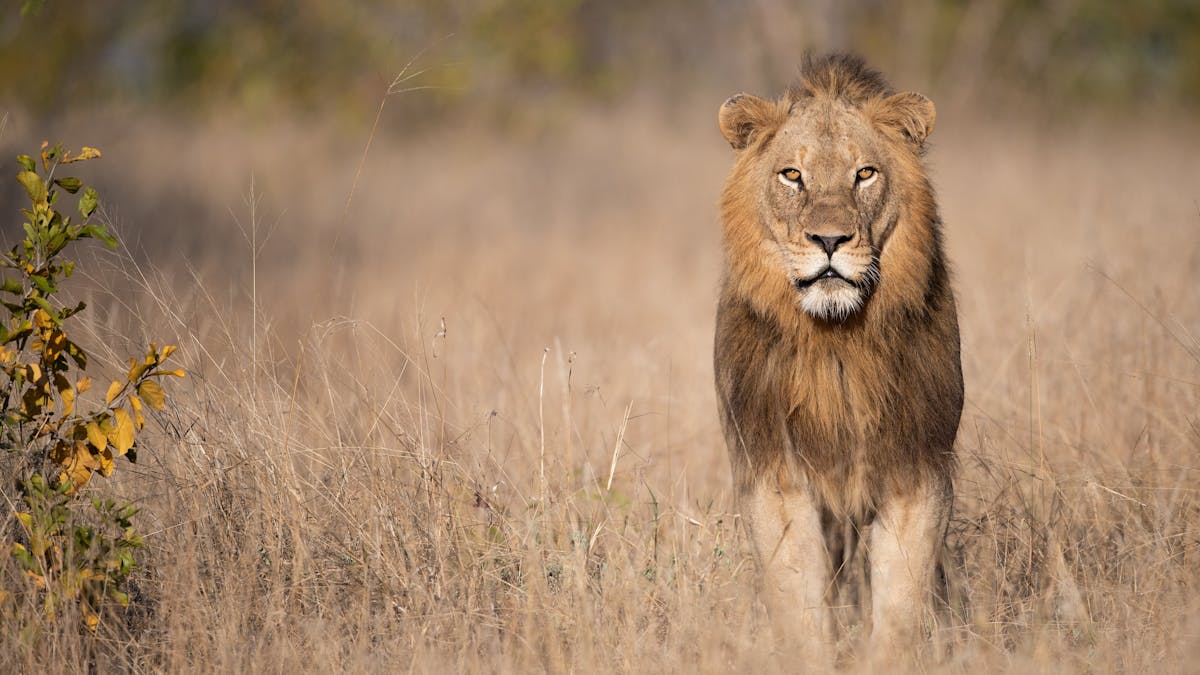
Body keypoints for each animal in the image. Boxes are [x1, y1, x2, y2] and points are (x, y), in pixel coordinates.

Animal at [710, 55, 964, 662]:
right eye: (792, 175)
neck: (836, 342)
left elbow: (900, 603)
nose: (829, 240)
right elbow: (799, 604)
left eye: (864, 173)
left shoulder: (917, 469)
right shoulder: (775, 474)